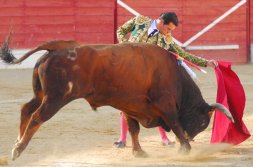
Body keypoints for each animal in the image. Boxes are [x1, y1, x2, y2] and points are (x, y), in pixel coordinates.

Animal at [0, 37, 233, 160]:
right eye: (203, 122)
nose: (190, 137)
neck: (174, 75)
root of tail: (57, 47)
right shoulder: (166, 104)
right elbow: (174, 122)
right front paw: (185, 148)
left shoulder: (131, 106)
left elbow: (134, 129)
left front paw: (139, 152)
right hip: (55, 98)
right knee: (37, 117)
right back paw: (18, 150)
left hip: (41, 94)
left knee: (26, 109)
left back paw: (17, 142)